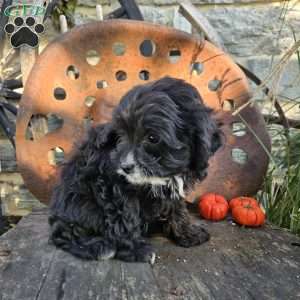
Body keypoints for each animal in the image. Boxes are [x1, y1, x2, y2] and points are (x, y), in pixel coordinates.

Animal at [49, 77, 221, 262]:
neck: (164, 174)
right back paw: (99, 246)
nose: (125, 167)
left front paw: (188, 234)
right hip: (78, 203)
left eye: (152, 138)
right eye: (121, 136)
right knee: (68, 232)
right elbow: (125, 217)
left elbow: (178, 208)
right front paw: (135, 250)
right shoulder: (112, 185)